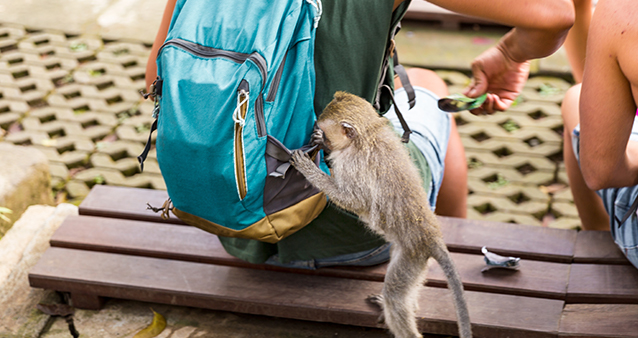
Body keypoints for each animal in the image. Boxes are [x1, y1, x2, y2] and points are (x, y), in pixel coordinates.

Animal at [292, 91, 472, 338]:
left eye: (329, 135)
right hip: (410, 256)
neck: (367, 134)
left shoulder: (351, 164)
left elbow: (354, 200)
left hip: (411, 257)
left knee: (395, 298)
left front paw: (308, 169)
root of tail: (431, 236)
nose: (322, 140)